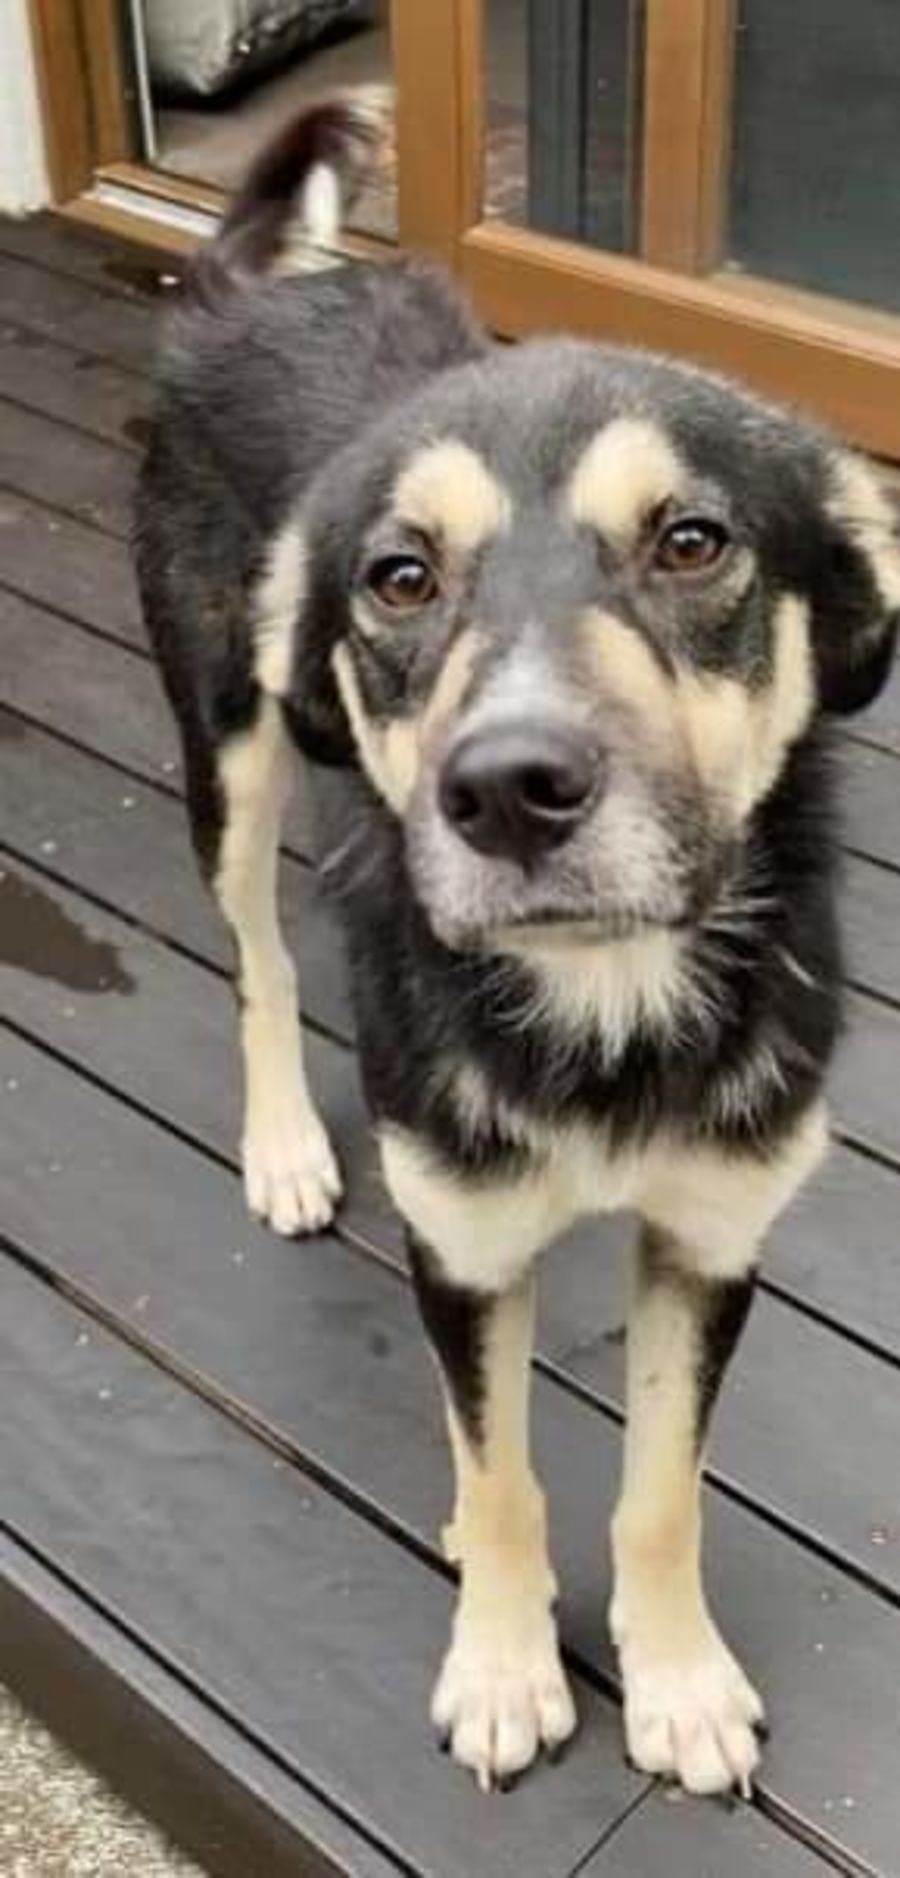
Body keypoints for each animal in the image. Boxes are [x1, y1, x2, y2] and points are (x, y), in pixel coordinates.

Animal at [135, 94, 899, 1799]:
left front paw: (676, 1678)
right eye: (400, 576)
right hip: (233, 753)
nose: (506, 791)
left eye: (693, 542)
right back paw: (285, 1140)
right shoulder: (464, 1250)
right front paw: (498, 1664)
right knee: (263, 962)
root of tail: (265, 287)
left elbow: (662, 1488)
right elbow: (500, 1480)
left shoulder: (710, 1238)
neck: (606, 998)